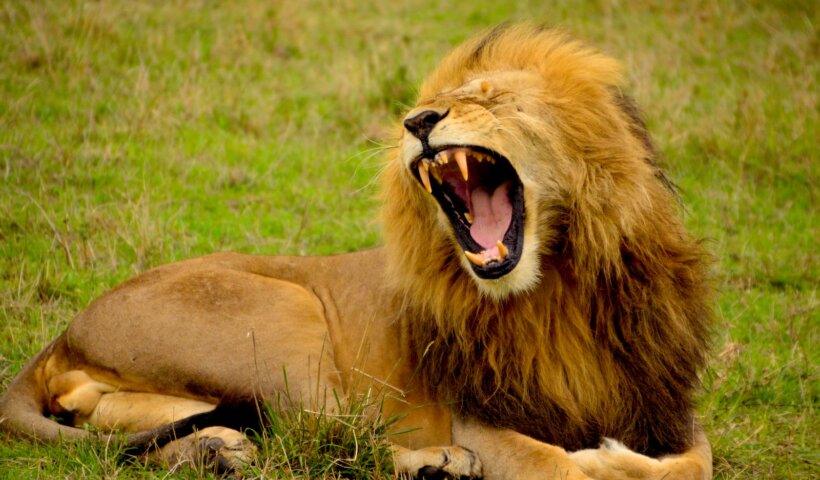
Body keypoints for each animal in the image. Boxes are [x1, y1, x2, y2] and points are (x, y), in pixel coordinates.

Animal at [0, 26, 712, 480]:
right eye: (428, 105)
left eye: (490, 97)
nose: (417, 121)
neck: (557, 286)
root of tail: (67, 329)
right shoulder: (479, 418)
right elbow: (558, 467)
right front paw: (597, 459)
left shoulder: (662, 403)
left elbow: (693, 464)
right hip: (285, 316)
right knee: (322, 437)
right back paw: (435, 466)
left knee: (114, 425)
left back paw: (216, 451)